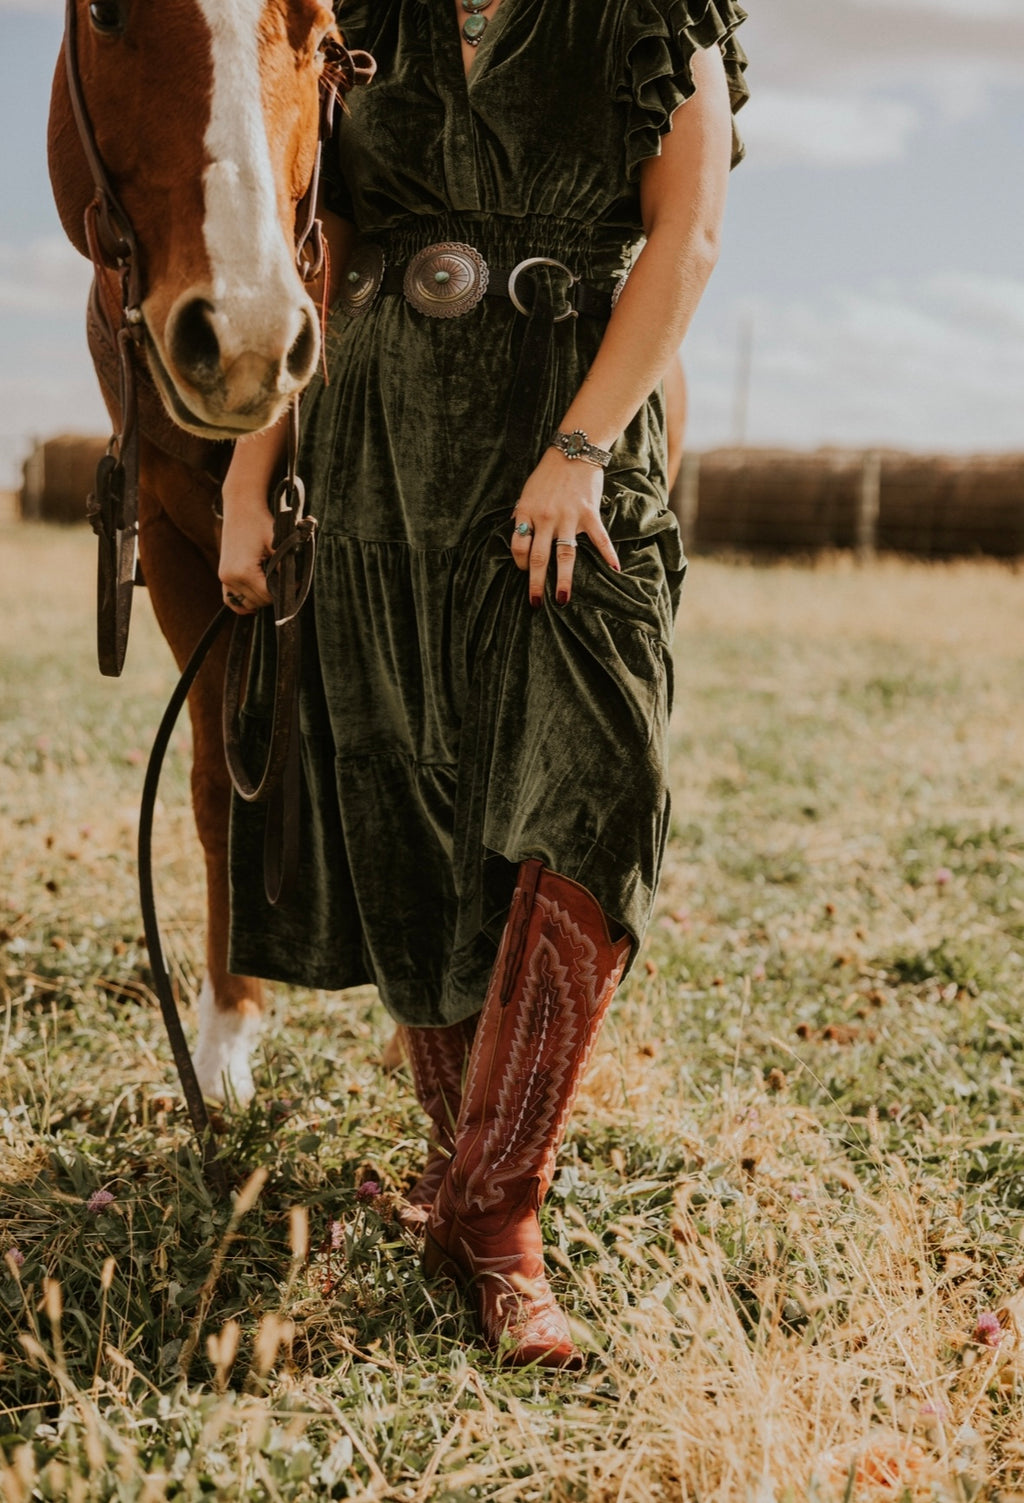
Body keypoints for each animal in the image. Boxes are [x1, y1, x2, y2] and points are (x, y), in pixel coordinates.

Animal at [47, 0, 345, 1106]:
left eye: (328, 42)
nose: (252, 334)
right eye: (106, 11)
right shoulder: (175, 544)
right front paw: (223, 1034)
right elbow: (219, 778)